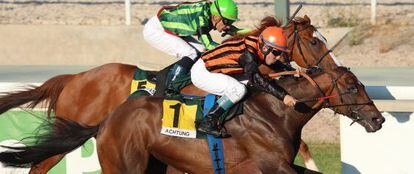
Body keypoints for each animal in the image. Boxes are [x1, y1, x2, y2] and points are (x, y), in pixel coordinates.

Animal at [0, 66, 384, 173]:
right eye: (352, 86)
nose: (378, 119)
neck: (273, 112)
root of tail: (105, 123)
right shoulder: (270, 166)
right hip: (126, 167)